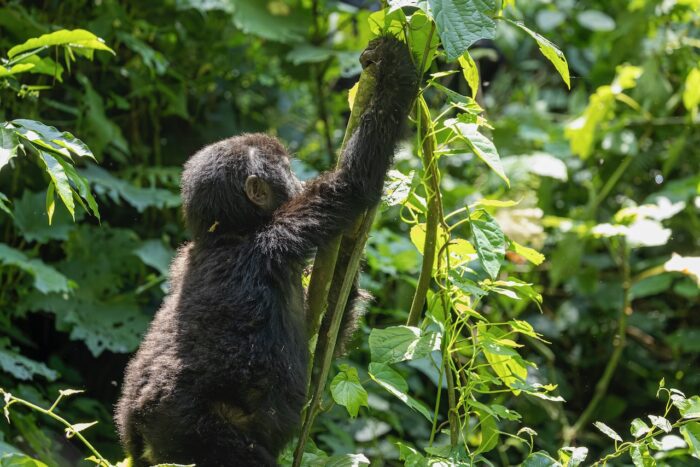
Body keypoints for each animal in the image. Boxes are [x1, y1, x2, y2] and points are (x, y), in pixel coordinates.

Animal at [114, 36, 417, 467]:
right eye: (287, 170)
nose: (299, 179)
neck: (227, 233)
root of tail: (139, 434)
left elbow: (328, 323)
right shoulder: (282, 232)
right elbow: (354, 182)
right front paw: (394, 70)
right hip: (197, 436)